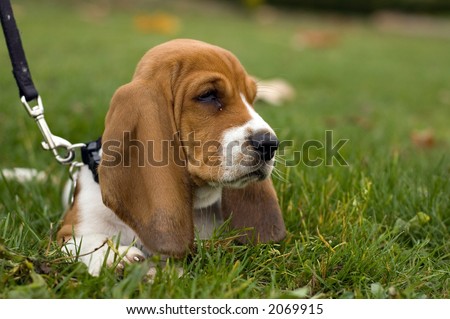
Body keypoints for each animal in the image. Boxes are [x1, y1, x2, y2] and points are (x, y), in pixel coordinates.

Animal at [57, 38, 284, 276]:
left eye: (252, 99)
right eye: (208, 95)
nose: (269, 144)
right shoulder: (69, 232)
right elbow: (87, 241)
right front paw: (115, 257)